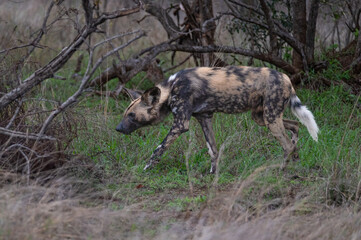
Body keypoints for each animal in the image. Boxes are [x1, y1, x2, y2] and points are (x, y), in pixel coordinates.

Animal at [116, 66, 318, 172]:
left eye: (132, 115)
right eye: (125, 114)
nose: (118, 129)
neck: (171, 89)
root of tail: (285, 77)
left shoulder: (180, 124)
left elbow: (159, 148)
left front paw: (146, 168)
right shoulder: (204, 118)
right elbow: (213, 150)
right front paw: (213, 173)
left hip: (270, 119)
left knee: (287, 144)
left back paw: (281, 169)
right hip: (262, 118)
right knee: (295, 127)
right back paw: (296, 160)